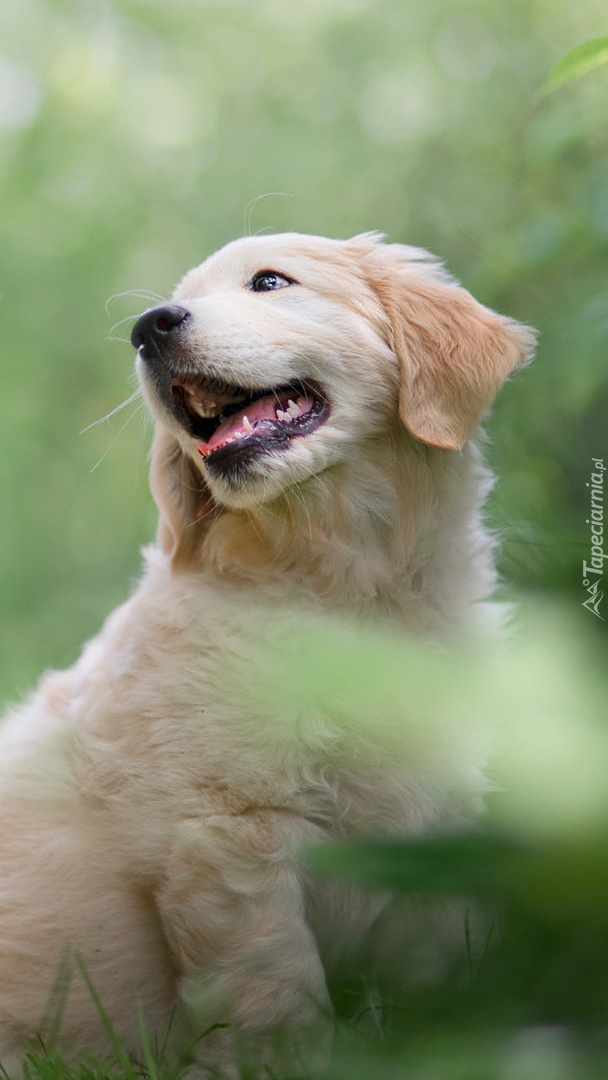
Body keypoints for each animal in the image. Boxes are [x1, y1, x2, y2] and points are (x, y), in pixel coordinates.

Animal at [0, 232, 533, 1075]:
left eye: (271, 282)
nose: (148, 327)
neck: (336, 582)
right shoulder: (226, 837)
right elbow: (274, 995)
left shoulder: (430, 821)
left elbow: (432, 971)